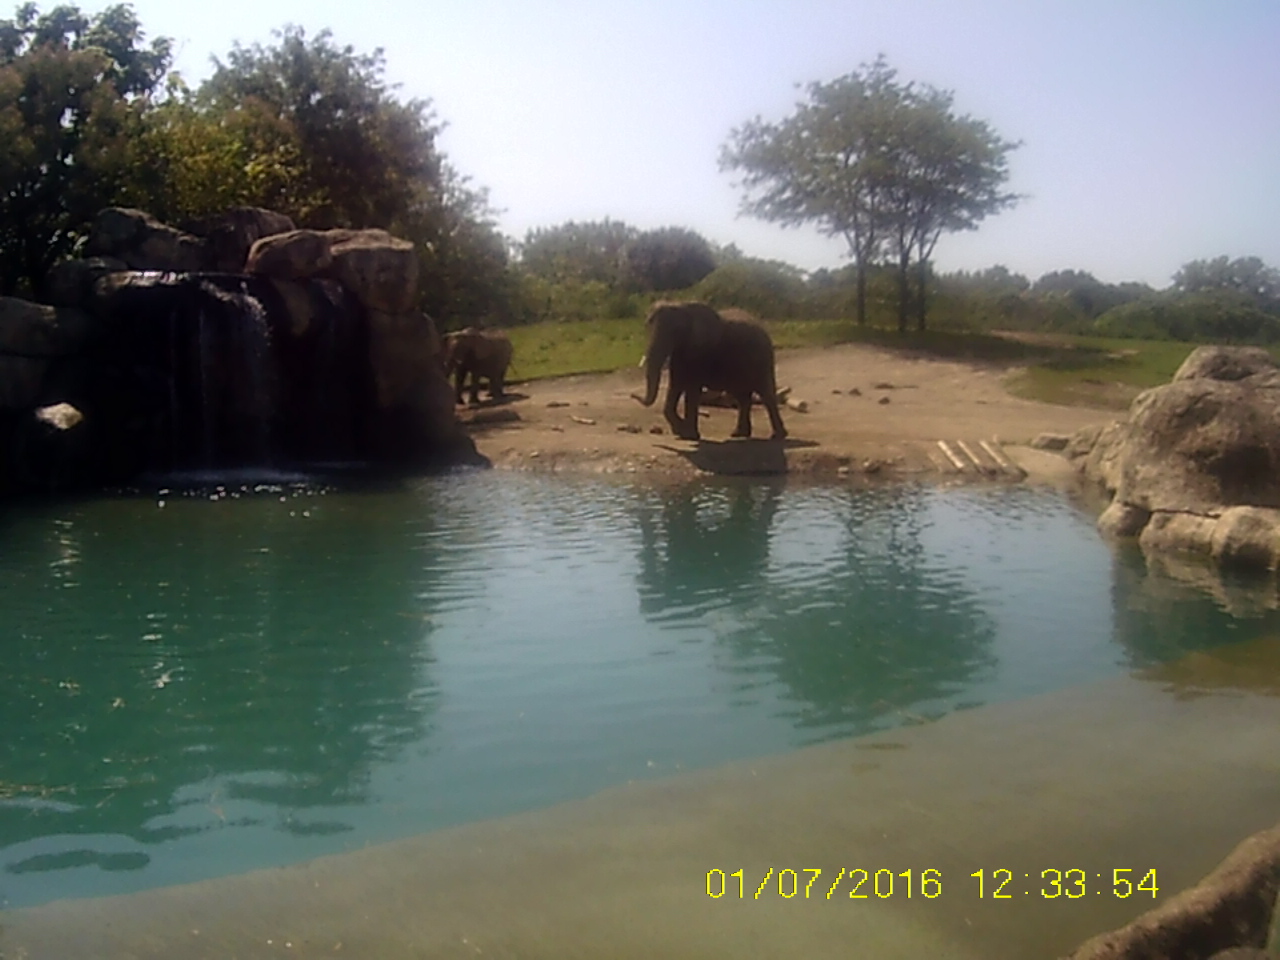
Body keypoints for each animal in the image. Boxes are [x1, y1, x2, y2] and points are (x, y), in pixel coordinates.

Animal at [637, 301, 787, 441]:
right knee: (742, 397)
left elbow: (692, 389)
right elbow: (675, 386)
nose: (634, 395)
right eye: (647, 325)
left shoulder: (701, 352)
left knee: (766, 395)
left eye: (677, 330)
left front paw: (689, 435)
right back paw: (739, 434)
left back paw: (777, 436)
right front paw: (681, 432)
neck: (683, 306)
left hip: (763, 360)